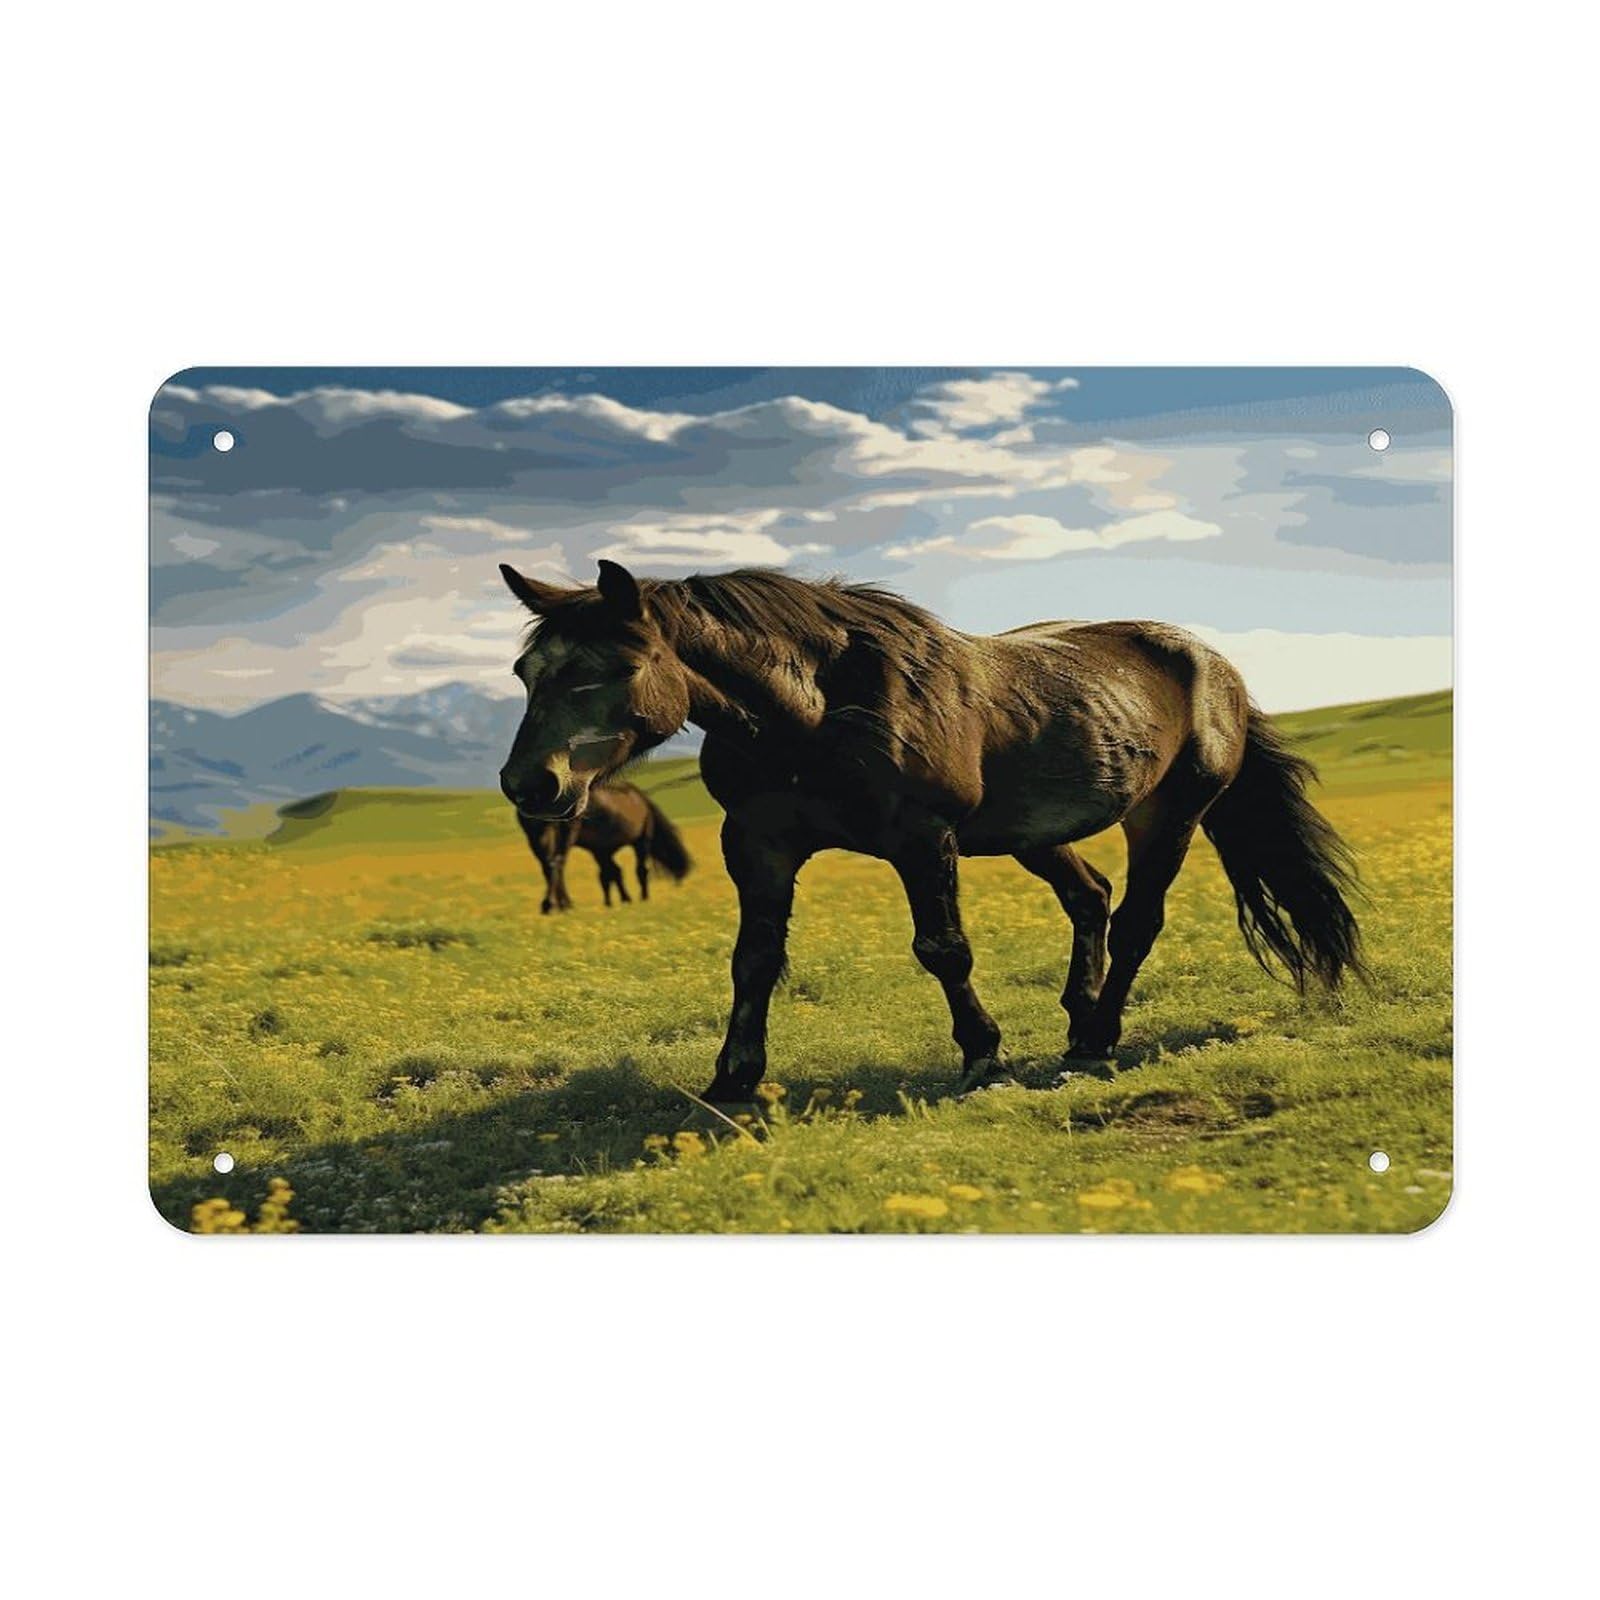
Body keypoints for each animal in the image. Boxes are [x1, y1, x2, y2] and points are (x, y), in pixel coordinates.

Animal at [516, 779, 692, 913]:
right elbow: (621, 873)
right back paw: (558, 904)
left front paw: (618, 901)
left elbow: (610, 874)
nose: (680, 880)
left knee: (550, 865)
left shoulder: (601, 850)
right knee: (556, 864)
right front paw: (633, 899)